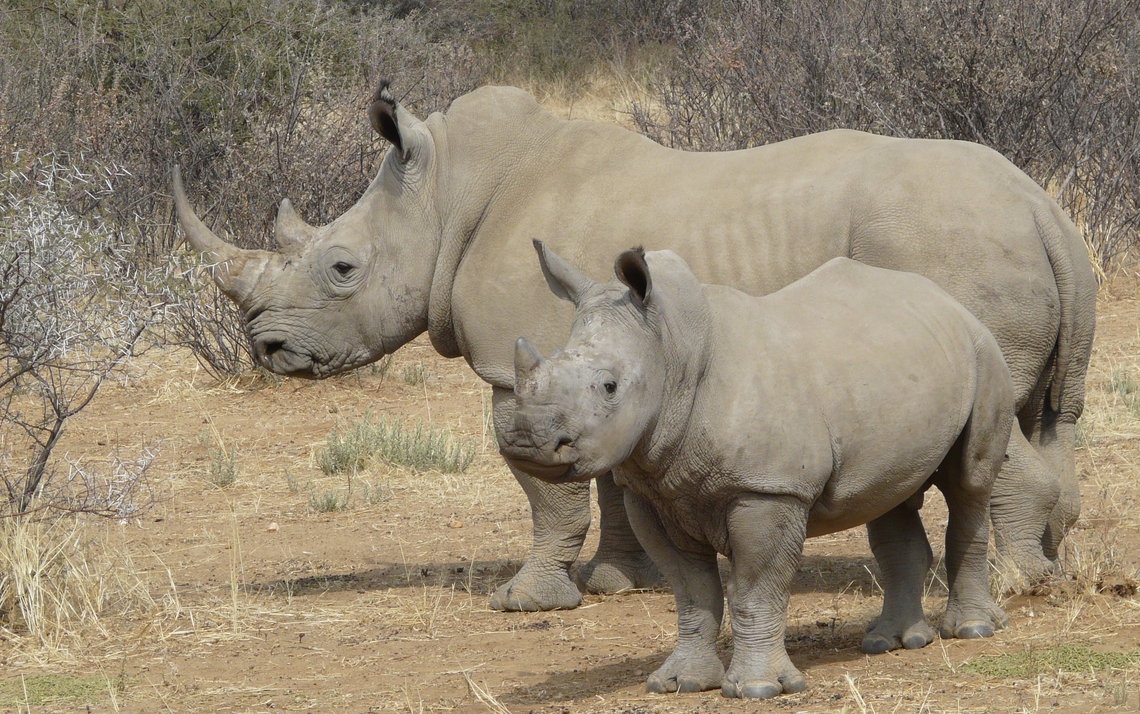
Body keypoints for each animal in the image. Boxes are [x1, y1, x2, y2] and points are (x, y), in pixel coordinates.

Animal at [172, 82, 1095, 612]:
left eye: (341, 268)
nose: (268, 346)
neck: (444, 195)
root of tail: (1043, 207)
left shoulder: (520, 368)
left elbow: (549, 493)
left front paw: (527, 601)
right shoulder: (597, 365)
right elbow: (609, 479)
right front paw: (619, 582)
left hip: (949, 250)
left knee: (994, 424)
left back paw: (1013, 586)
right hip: (1002, 247)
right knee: (1045, 417)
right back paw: (1048, 563)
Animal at [500, 242, 1013, 698]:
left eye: (609, 387)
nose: (525, 439)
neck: (673, 350)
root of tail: (948, 299)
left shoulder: (768, 489)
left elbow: (755, 589)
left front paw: (758, 689)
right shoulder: (654, 492)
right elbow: (692, 592)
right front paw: (681, 683)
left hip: (984, 351)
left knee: (969, 484)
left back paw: (971, 630)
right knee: (889, 495)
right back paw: (890, 641)